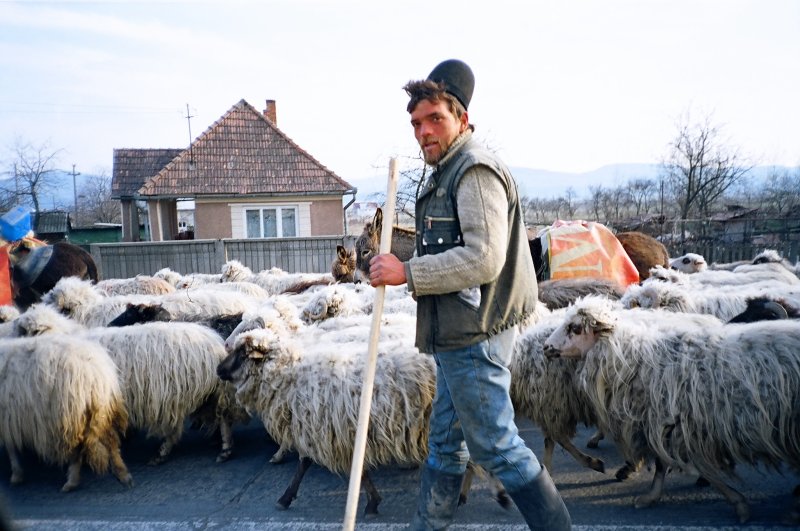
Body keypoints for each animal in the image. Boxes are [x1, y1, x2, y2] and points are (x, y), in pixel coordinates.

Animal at [0, 334, 133, 492]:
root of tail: (96, 372)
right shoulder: (9, 419)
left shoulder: (6, 419)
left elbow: (11, 447)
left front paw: (16, 474)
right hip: (99, 411)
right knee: (111, 440)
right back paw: (123, 474)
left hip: (70, 416)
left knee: (77, 450)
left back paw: (71, 482)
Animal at [13, 304, 250, 466]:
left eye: (129, 314)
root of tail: (213, 341)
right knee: (218, 416)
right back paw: (221, 447)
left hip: (174, 394)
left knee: (187, 424)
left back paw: (164, 452)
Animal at [544, 298, 800, 524]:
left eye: (575, 328)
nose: (546, 347)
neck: (631, 359)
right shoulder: (665, 423)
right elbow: (662, 464)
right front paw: (651, 496)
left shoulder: (676, 424)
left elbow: (683, 466)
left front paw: (739, 504)